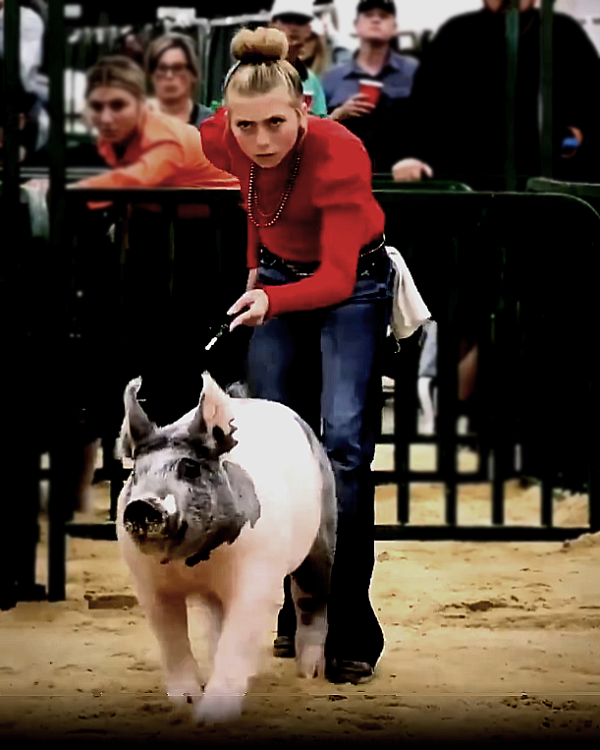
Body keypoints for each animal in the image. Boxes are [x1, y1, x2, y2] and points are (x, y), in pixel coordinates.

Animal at [116, 372, 336, 724]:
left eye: (190, 468)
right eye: (136, 473)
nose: (141, 505)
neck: (192, 562)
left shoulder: (259, 575)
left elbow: (239, 636)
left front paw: (210, 719)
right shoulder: (147, 584)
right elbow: (171, 638)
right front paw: (186, 705)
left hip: (322, 532)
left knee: (311, 598)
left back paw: (308, 673)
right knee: (218, 620)